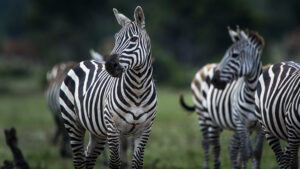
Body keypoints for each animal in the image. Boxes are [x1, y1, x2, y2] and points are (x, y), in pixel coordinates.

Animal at [59, 5, 157, 169]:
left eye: (134, 39)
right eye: (116, 38)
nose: (110, 65)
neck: (138, 89)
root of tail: (84, 61)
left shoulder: (144, 130)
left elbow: (137, 162)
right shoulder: (113, 128)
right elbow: (115, 162)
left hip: (97, 132)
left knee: (88, 158)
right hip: (73, 123)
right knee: (79, 159)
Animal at [209, 27, 264, 168]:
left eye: (235, 55)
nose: (214, 80)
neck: (252, 95)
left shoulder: (261, 127)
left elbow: (256, 153)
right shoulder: (241, 123)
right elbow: (246, 154)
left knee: (234, 149)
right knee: (217, 148)